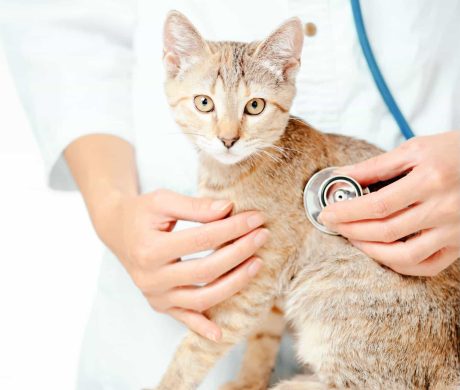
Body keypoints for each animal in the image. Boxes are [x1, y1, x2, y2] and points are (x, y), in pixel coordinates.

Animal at [155, 9, 460, 390]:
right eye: (204, 103)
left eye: (255, 106)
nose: (228, 140)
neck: (232, 174)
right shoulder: (269, 283)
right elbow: (263, 336)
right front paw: (249, 379)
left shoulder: (255, 280)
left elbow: (197, 349)